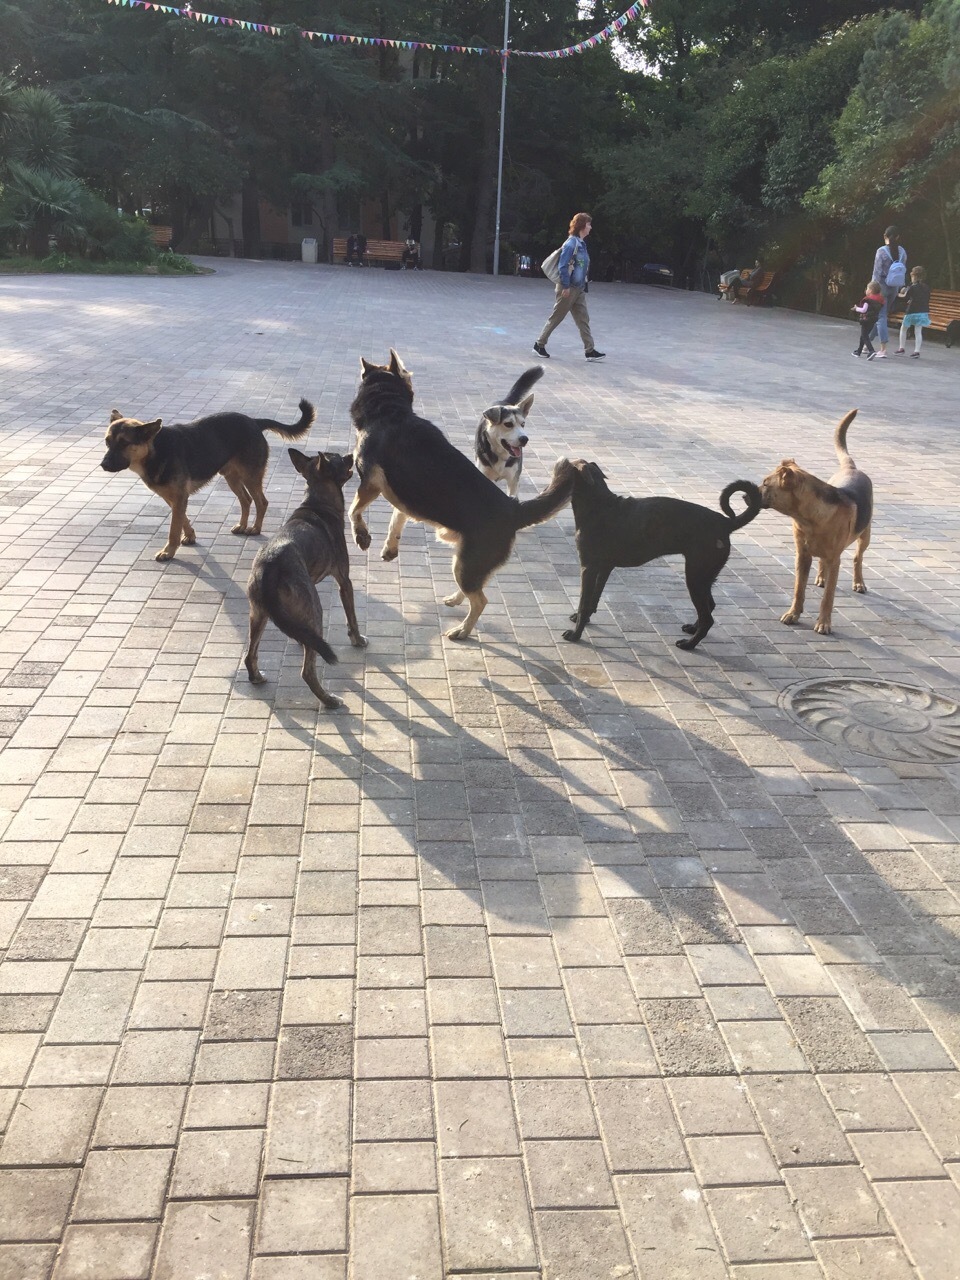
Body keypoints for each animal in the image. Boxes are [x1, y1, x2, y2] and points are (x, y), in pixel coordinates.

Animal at [244, 450, 368, 711]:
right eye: (339, 458)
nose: (351, 454)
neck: (317, 502)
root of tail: (271, 564)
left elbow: (302, 633)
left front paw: (302, 641)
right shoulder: (345, 581)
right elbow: (352, 617)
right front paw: (358, 639)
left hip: (259, 613)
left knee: (250, 655)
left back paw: (257, 677)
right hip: (314, 608)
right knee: (307, 672)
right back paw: (329, 700)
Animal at [478, 368, 545, 496]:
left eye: (523, 424)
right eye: (508, 424)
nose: (524, 439)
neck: (501, 454)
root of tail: (504, 402)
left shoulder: (513, 481)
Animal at [560, 460, 762, 650]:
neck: (599, 505)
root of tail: (725, 522)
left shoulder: (588, 568)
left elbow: (584, 603)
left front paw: (576, 634)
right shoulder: (604, 568)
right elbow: (593, 599)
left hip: (695, 577)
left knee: (708, 618)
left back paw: (689, 644)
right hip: (704, 577)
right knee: (709, 606)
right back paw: (693, 629)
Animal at [762, 407, 875, 632]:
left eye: (765, 484)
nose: (745, 495)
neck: (809, 519)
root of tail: (852, 468)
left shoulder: (835, 560)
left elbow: (828, 598)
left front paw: (823, 623)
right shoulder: (802, 556)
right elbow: (799, 590)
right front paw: (793, 614)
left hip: (865, 536)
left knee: (857, 558)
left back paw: (858, 582)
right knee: (823, 562)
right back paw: (821, 577)